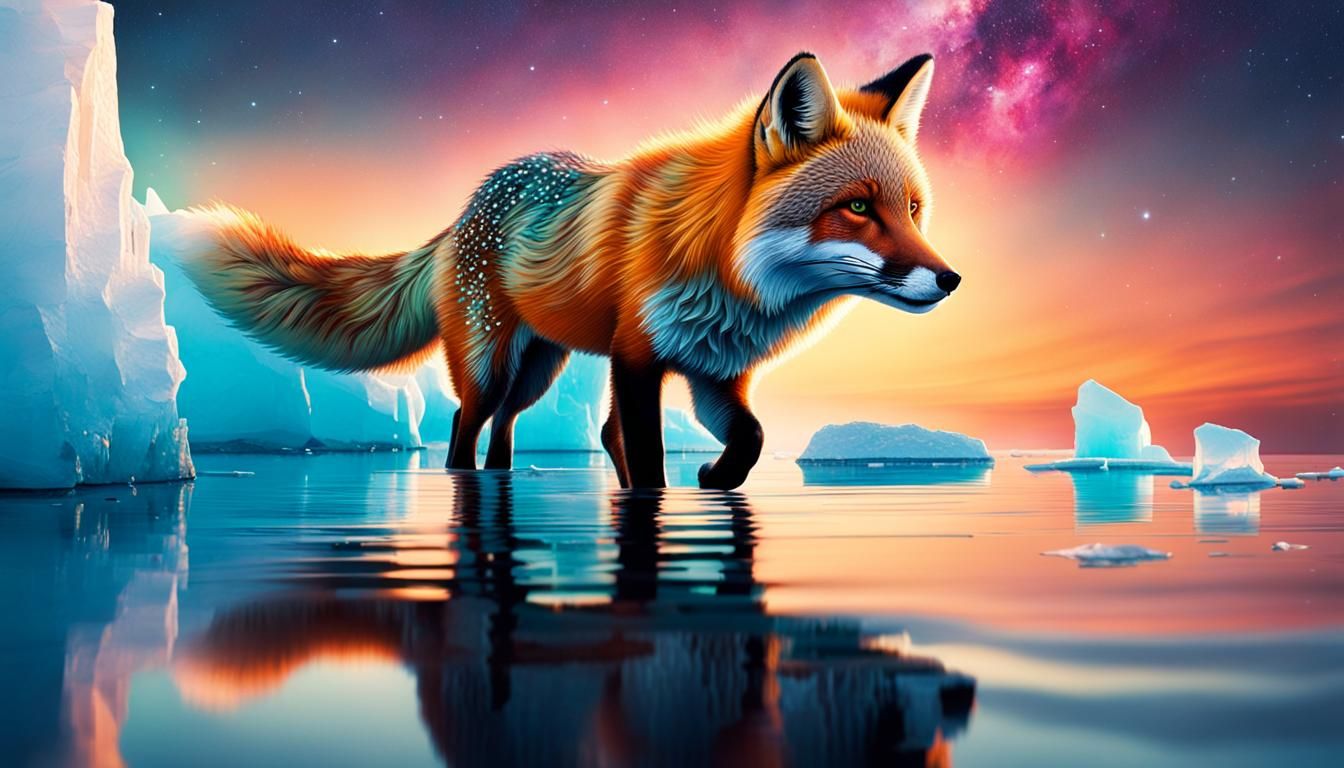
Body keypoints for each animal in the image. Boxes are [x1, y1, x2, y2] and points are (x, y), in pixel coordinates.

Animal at [178, 52, 959, 490]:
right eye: (856, 206)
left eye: (914, 210)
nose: (950, 280)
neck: (729, 274)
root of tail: (467, 206)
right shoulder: (639, 357)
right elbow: (645, 451)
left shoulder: (713, 370)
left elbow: (752, 438)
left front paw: (715, 478)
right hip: (494, 363)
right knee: (466, 424)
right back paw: (463, 480)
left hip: (539, 369)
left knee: (518, 431)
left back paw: (504, 478)